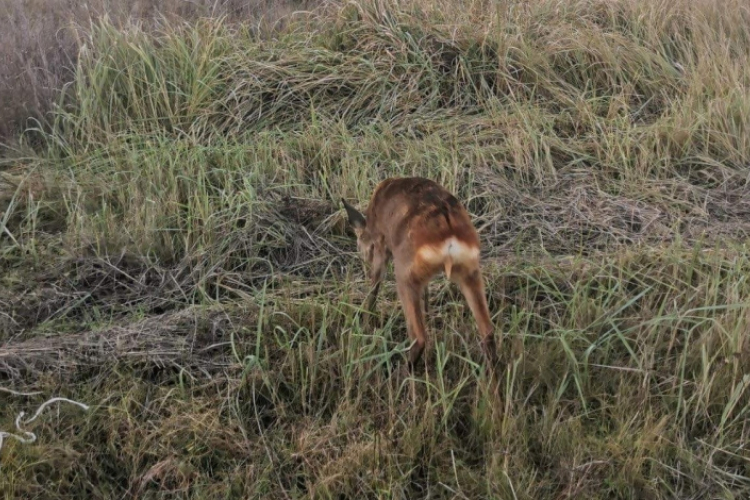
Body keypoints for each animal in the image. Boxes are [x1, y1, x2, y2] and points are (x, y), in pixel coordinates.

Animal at [342, 178, 496, 366]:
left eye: (358, 244)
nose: (364, 261)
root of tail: (449, 236)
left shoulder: (381, 244)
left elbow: (375, 284)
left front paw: (366, 322)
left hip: (405, 275)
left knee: (419, 338)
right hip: (470, 272)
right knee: (488, 331)